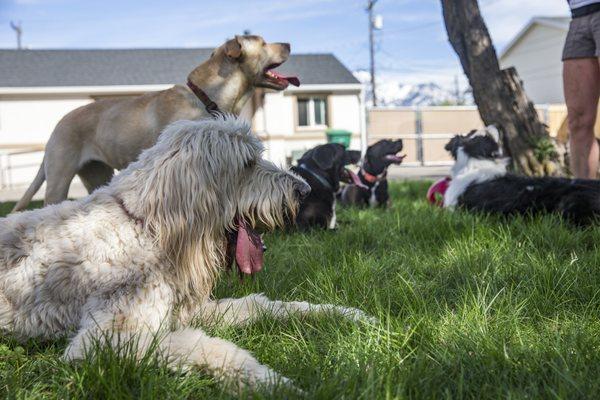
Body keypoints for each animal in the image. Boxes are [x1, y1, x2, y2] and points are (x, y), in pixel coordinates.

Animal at [0, 115, 372, 390]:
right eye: (247, 163)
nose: (305, 189)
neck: (147, 226)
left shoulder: (189, 310)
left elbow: (261, 305)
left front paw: (341, 313)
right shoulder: (107, 339)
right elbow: (211, 347)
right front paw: (274, 382)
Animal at [15, 35, 300, 212]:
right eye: (263, 42)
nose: (289, 42)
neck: (207, 98)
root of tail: (57, 124)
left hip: (96, 175)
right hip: (59, 179)